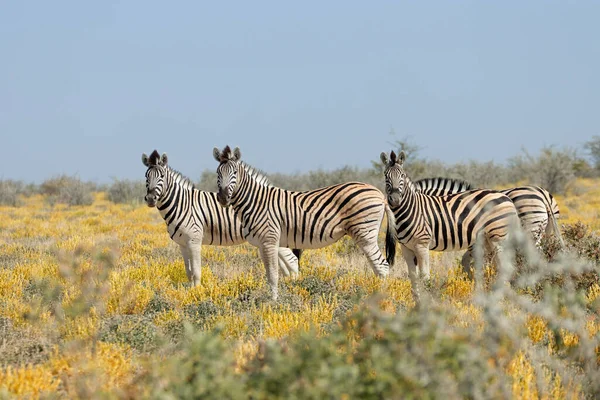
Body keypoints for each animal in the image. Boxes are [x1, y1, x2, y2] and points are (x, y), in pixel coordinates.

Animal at [141, 151, 300, 288]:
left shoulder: (194, 241)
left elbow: (196, 272)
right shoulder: (182, 244)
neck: (182, 204)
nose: (150, 199)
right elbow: (189, 273)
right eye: (146, 176)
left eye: (162, 176)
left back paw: (295, 287)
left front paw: (197, 294)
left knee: (292, 261)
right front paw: (190, 293)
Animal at [213, 145, 396, 300]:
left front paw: (273, 303)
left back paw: (381, 299)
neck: (255, 202)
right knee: (378, 266)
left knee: (382, 266)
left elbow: (273, 275)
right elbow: (270, 274)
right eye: (218, 174)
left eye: (234, 173)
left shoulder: (269, 240)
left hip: (365, 233)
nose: (223, 198)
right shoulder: (261, 244)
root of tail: (380, 195)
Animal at [380, 150, 520, 300]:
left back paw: (500, 297)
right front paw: (416, 301)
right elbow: (413, 276)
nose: (395, 200)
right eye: (385, 175)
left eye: (402, 175)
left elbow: (424, 276)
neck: (412, 209)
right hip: (488, 240)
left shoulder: (422, 245)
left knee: (505, 267)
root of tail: (506, 197)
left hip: (498, 238)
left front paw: (427, 301)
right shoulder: (406, 248)